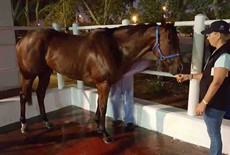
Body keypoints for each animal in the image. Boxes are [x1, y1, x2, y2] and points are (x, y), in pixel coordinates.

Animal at [16, 21, 182, 143]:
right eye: (169, 40)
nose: (179, 68)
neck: (114, 47)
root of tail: (23, 38)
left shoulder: (101, 84)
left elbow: (98, 104)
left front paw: (98, 127)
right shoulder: (103, 83)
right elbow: (103, 106)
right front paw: (105, 134)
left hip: (45, 73)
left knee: (40, 94)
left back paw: (47, 122)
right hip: (28, 76)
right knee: (23, 96)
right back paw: (24, 125)